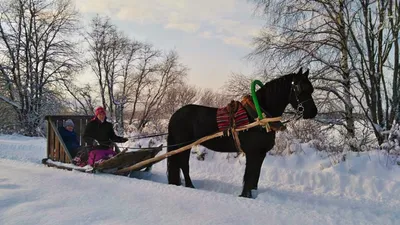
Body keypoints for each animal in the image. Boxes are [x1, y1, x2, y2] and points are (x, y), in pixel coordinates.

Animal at [166, 67, 316, 198]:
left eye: (311, 89)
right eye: (299, 88)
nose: (313, 112)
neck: (258, 117)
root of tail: (175, 115)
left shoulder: (261, 154)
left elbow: (255, 176)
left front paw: (252, 194)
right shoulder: (253, 153)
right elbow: (249, 175)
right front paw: (245, 195)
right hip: (182, 145)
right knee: (184, 164)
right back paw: (190, 186)